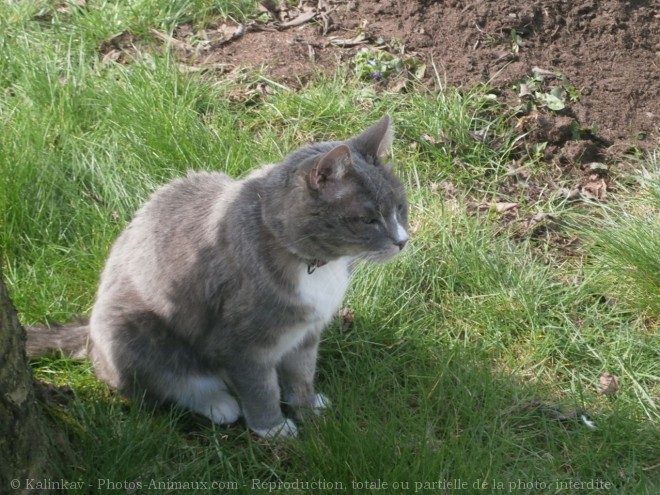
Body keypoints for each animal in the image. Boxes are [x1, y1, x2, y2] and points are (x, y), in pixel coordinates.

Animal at [28, 115, 410, 438]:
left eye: (400, 207)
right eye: (368, 220)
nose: (403, 241)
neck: (311, 264)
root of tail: (89, 325)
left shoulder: (306, 334)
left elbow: (301, 374)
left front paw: (307, 407)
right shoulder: (243, 344)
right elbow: (260, 387)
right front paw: (274, 429)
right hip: (128, 328)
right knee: (161, 384)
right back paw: (219, 404)